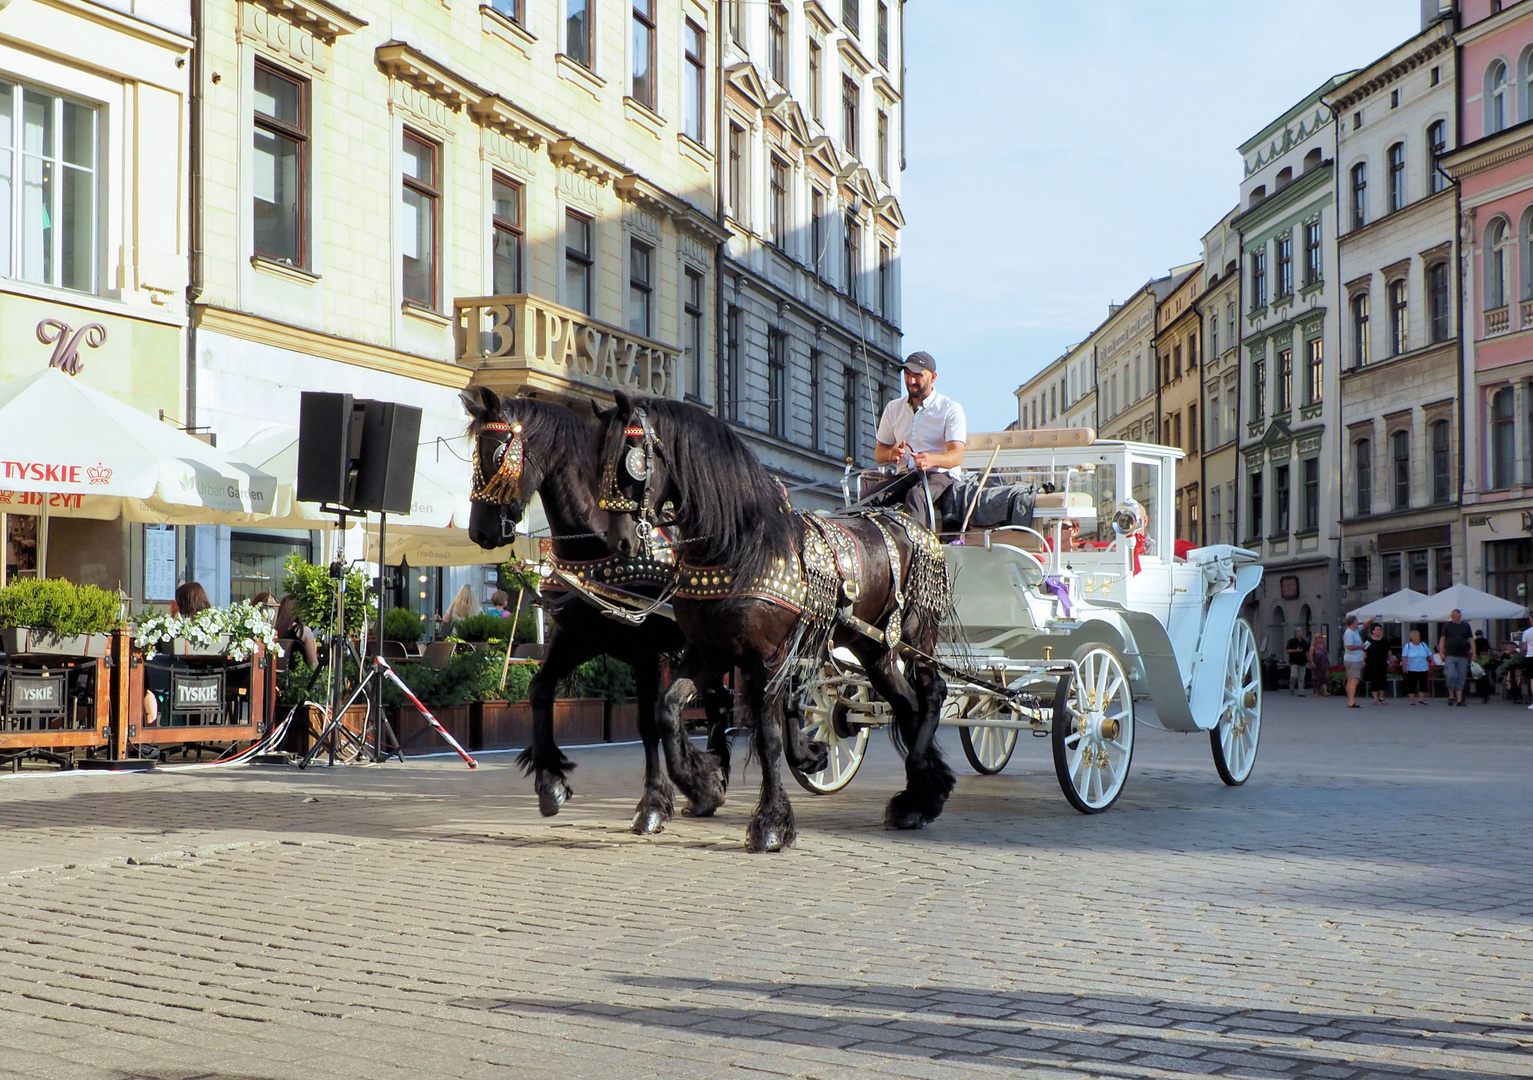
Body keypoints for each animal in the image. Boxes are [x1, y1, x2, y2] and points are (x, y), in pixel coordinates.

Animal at [459, 387, 729, 833]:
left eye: (498, 454)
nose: (480, 531)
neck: (597, 544)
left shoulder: (643, 651)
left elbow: (647, 723)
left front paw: (653, 804)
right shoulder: (577, 638)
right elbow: (539, 691)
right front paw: (550, 781)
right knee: (719, 701)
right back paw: (711, 780)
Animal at [591, 389, 950, 851]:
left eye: (631, 461)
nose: (617, 541)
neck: (738, 544)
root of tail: (910, 522)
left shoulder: (769, 661)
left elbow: (769, 736)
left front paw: (771, 824)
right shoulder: (708, 653)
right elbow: (667, 710)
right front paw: (700, 784)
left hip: (916, 635)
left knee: (931, 694)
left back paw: (924, 784)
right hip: (875, 649)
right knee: (906, 703)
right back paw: (918, 798)